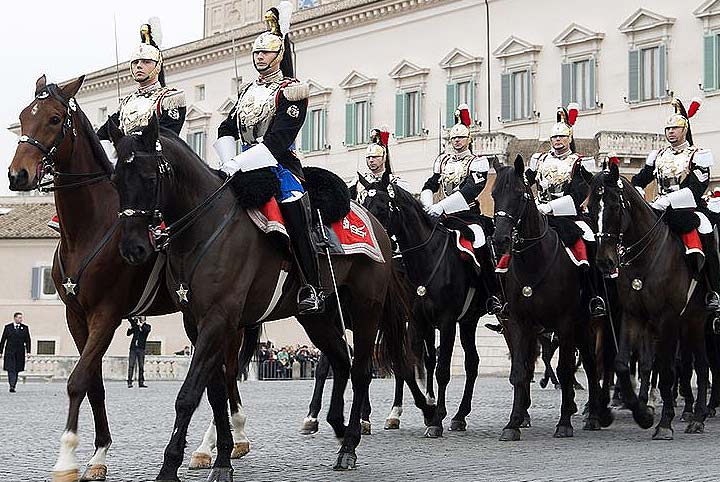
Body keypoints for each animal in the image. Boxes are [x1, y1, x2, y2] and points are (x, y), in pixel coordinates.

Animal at [6, 75, 250, 482]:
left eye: (55, 119)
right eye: (25, 116)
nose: (17, 175)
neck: (88, 227)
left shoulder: (106, 314)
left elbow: (77, 381)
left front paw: (67, 459)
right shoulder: (76, 317)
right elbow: (94, 384)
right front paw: (98, 454)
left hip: (227, 321)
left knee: (228, 374)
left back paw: (226, 442)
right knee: (217, 376)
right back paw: (212, 447)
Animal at [109, 114, 420, 478]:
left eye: (148, 178)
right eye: (115, 179)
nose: (133, 249)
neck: (205, 226)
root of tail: (377, 227)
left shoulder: (218, 319)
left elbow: (189, 395)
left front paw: (170, 466)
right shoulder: (198, 324)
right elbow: (215, 393)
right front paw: (222, 458)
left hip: (366, 308)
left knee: (361, 370)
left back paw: (349, 446)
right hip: (320, 317)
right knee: (341, 361)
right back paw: (338, 426)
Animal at [360, 172, 496, 436]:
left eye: (381, 206)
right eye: (362, 205)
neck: (430, 259)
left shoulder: (446, 321)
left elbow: (441, 369)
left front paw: (435, 418)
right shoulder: (416, 320)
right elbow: (416, 362)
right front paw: (428, 408)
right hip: (467, 321)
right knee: (471, 362)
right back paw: (459, 416)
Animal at [490, 155, 608, 440]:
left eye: (520, 194)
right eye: (494, 194)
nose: (500, 239)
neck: (535, 262)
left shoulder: (564, 323)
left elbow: (566, 370)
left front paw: (564, 422)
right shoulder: (519, 323)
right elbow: (520, 371)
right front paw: (513, 423)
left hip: (588, 323)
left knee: (591, 365)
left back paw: (592, 415)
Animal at [592, 161, 708, 436]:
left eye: (615, 206)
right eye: (590, 207)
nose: (604, 262)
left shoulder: (667, 319)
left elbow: (665, 370)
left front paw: (664, 423)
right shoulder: (632, 315)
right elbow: (622, 364)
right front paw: (642, 413)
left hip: (698, 322)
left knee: (700, 365)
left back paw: (698, 415)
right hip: (691, 322)